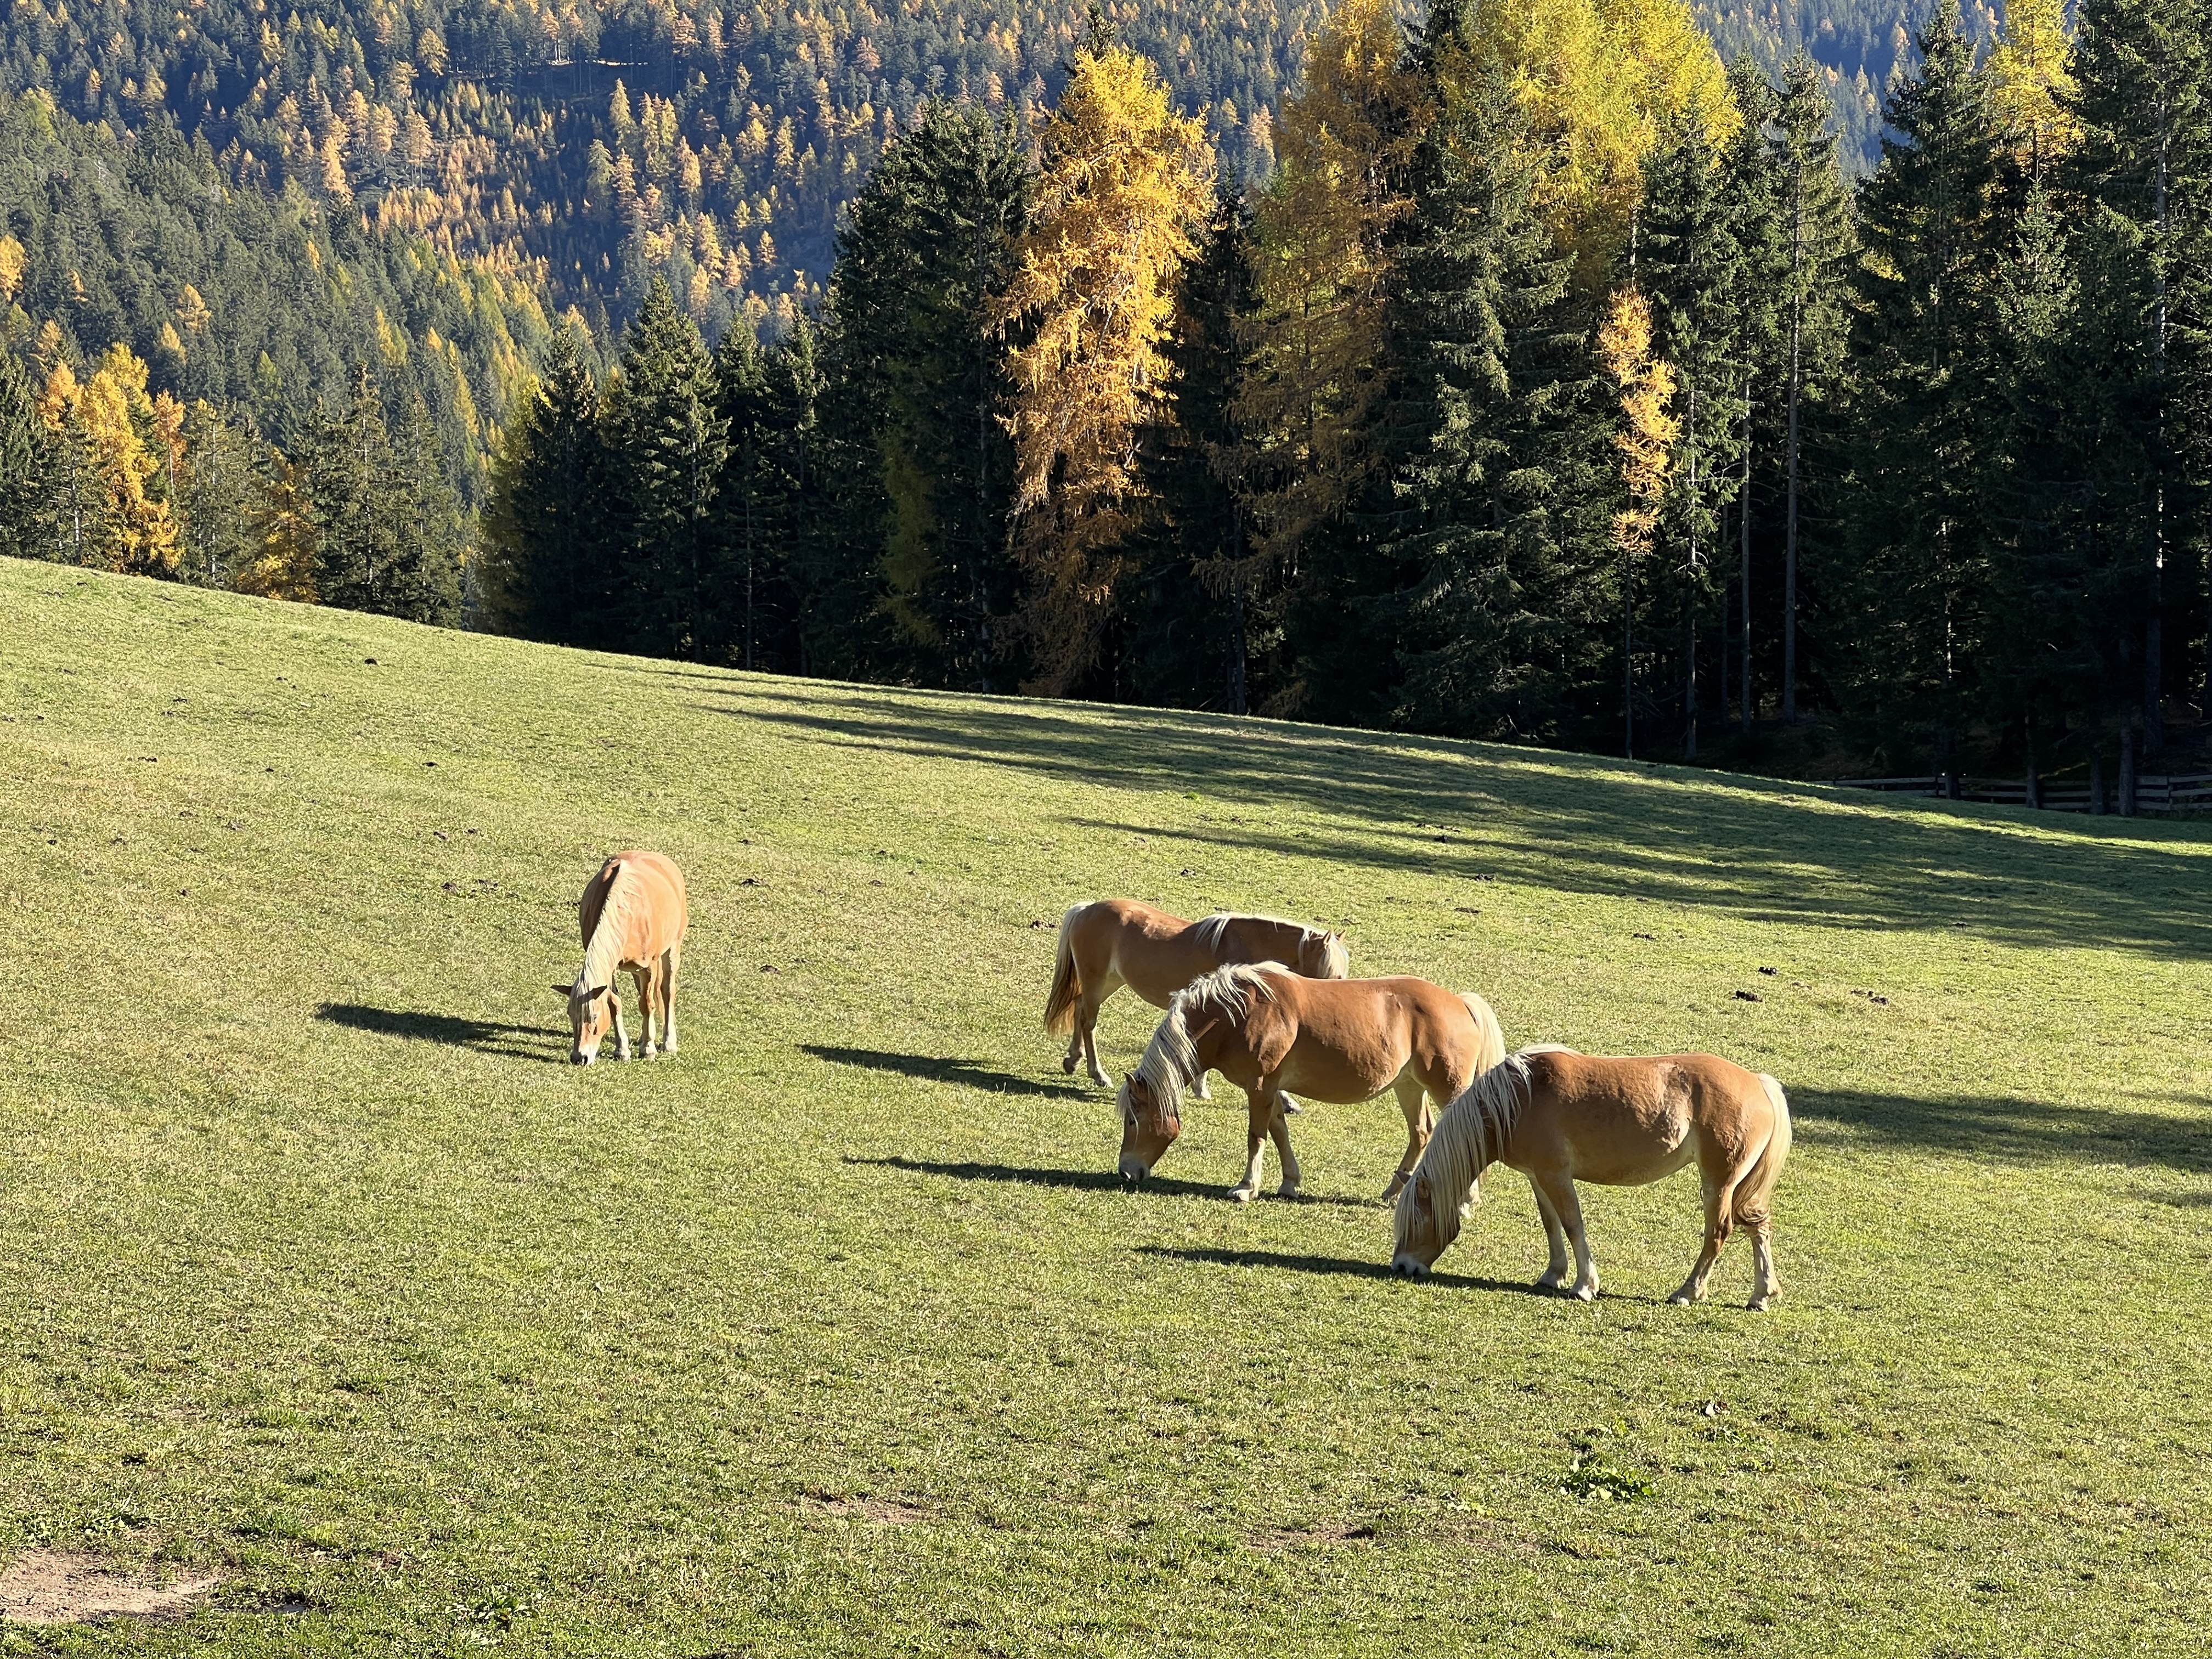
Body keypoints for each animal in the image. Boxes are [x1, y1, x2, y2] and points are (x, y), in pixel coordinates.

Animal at [554, 851, 688, 1065]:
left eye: (594, 1017)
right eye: (570, 1014)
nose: (579, 1058)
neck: (629, 914)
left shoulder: (649, 967)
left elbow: (648, 1004)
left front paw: (649, 1049)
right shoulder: (611, 969)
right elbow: (615, 1004)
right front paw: (622, 1050)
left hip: (672, 949)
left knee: (667, 992)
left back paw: (668, 1043)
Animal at [1044, 900, 1350, 1093]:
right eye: (1334, 976)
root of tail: (1085, 909)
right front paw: (1201, 1087)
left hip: (1109, 982)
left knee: (1079, 1009)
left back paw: (1073, 1061)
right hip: (1096, 981)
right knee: (1088, 1022)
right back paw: (1098, 1074)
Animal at [1115, 964, 1506, 1203]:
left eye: (1133, 1120)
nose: (1126, 1172)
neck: (1237, 1014)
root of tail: (1461, 1004)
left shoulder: (1259, 1086)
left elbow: (1257, 1136)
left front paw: (1246, 1187)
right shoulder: (1271, 1088)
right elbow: (1279, 1132)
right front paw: (1289, 1182)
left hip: (1447, 1089)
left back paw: (1467, 1197)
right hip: (1409, 1087)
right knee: (1422, 1132)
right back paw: (1394, 1190)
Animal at [1389, 1048, 1793, 1310]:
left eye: (1417, 1220)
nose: (1401, 1267)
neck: (1521, 1097)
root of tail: (1759, 1083)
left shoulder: (1556, 1174)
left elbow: (1572, 1225)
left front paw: (1584, 1285)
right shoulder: (1539, 1177)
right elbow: (1551, 1224)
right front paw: (1553, 1275)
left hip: (1719, 1184)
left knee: (1719, 1233)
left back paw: (1688, 1292)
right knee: (1758, 1227)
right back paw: (1761, 1295)